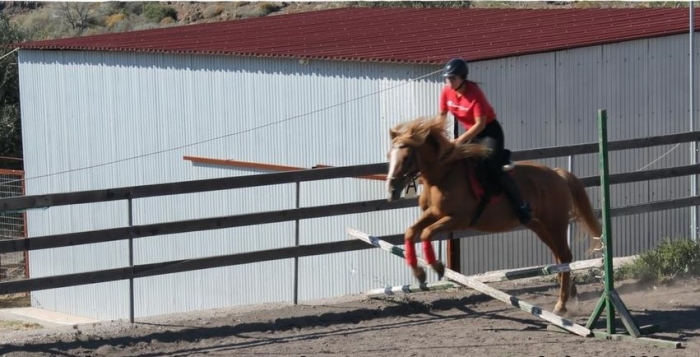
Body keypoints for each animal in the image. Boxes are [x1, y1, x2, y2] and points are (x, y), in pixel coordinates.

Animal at [386, 115, 600, 312]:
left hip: (555, 223)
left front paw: (437, 266)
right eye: (389, 156)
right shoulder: (434, 214)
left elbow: (426, 233)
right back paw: (570, 293)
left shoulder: (457, 219)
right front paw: (419, 273)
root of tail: (558, 174)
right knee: (560, 257)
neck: (443, 175)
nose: (392, 191)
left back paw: (561, 304)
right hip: (539, 226)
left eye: (406, 158)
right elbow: (411, 232)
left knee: (564, 255)